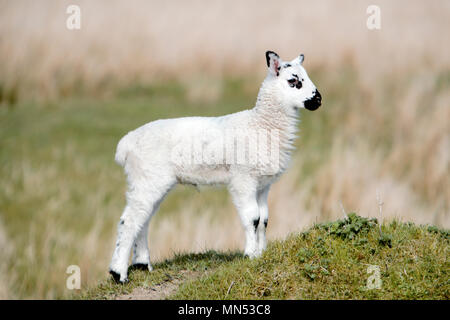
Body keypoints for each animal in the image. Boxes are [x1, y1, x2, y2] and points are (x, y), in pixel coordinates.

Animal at [109, 50, 322, 282]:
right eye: (293, 81)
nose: (318, 99)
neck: (260, 124)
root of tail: (126, 144)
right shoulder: (243, 179)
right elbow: (253, 217)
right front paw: (250, 255)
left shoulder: (263, 184)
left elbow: (264, 219)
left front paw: (262, 253)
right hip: (148, 179)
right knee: (129, 221)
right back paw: (118, 273)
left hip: (151, 181)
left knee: (143, 219)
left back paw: (142, 265)